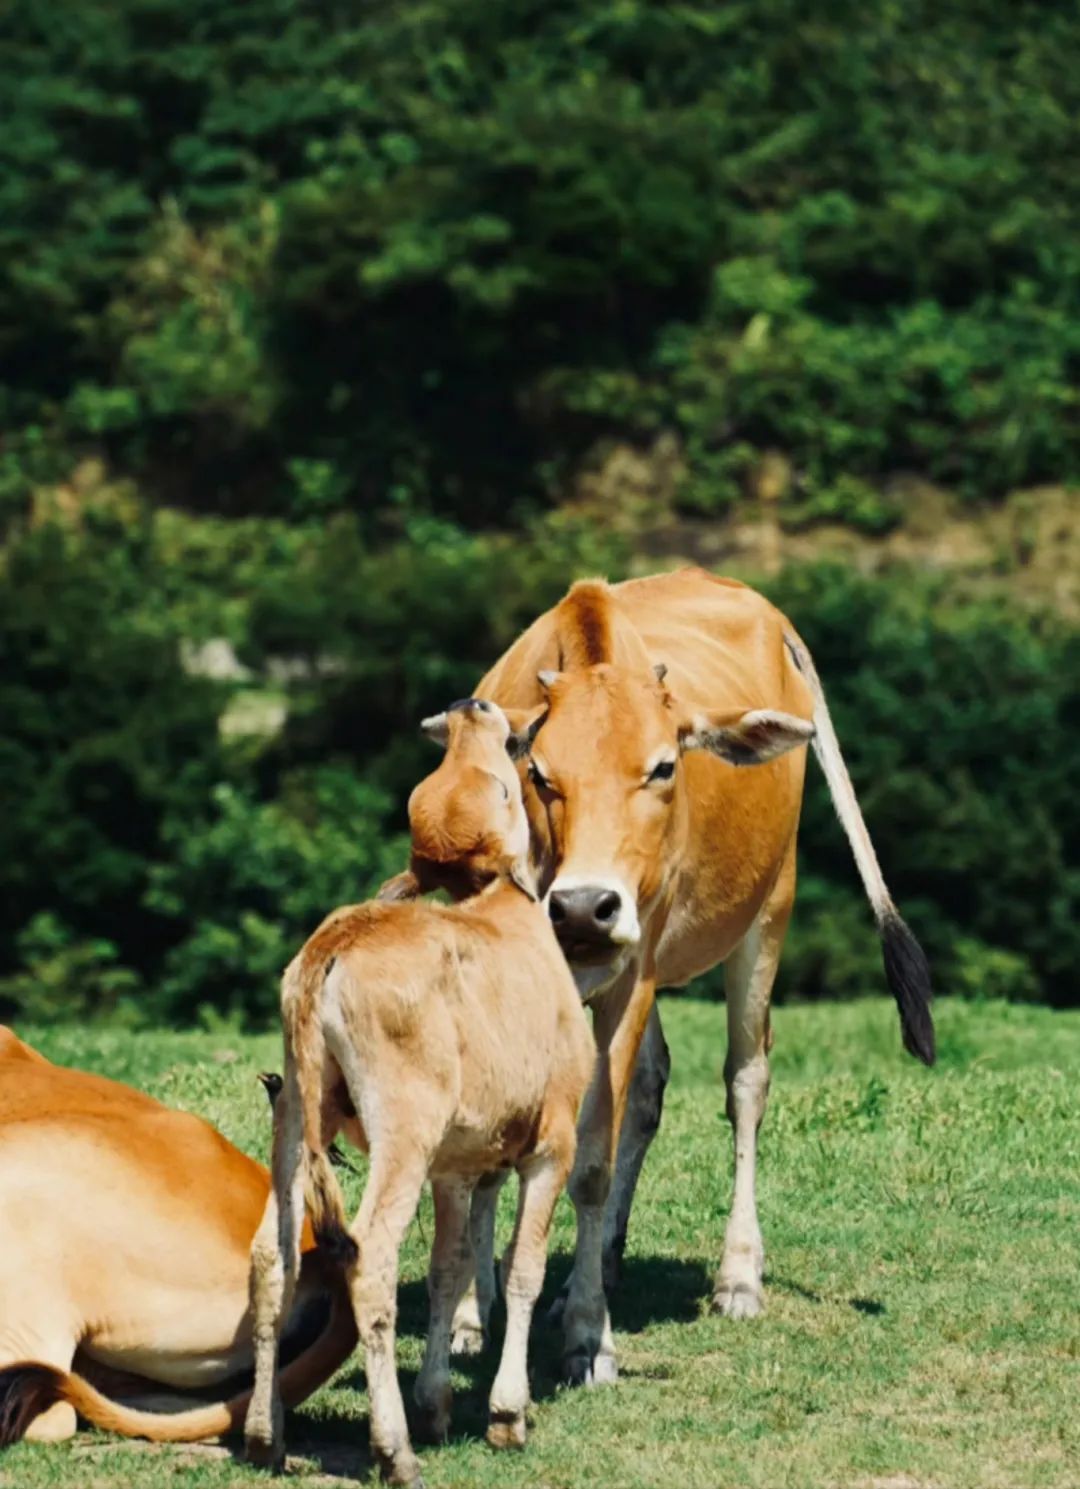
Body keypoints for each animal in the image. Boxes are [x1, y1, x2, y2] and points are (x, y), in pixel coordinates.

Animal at [245, 699, 592, 1489]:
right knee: (370, 1258)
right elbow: (522, 1268)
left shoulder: (456, 1166)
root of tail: (327, 950)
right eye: (528, 760)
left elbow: (447, 1270)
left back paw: (263, 1435)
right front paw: (506, 1414)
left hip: (297, 1115)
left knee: (272, 1255)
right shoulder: (552, 1142)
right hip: (402, 1130)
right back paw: (392, 1448)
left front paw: (436, 1402)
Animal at [449, 568, 929, 1381]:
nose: (584, 907)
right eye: (538, 773)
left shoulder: (632, 975)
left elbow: (592, 1159)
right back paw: (597, 1266)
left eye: (664, 766)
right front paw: (466, 1317)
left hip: (766, 910)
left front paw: (590, 1339)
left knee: (745, 1080)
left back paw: (736, 1275)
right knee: (649, 1086)